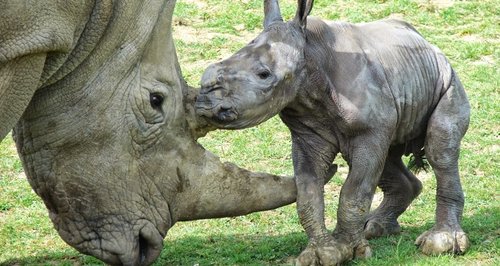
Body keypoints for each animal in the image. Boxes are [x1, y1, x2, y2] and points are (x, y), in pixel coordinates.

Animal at [196, 0, 472, 264]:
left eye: (264, 75)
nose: (204, 104)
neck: (310, 58)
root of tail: (428, 42)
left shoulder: (368, 131)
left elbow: (353, 192)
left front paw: (351, 250)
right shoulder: (307, 135)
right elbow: (307, 195)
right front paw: (322, 253)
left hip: (448, 79)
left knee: (440, 150)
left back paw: (440, 244)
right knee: (387, 158)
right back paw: (374, 227)